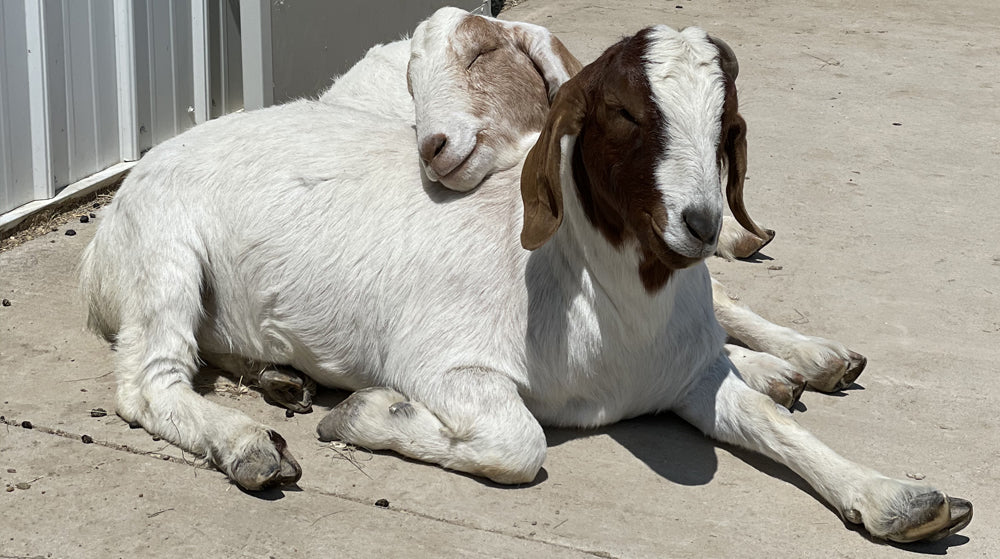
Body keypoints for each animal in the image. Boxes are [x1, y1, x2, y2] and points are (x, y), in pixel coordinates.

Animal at [78, 6, 968, 544]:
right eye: (624, 113)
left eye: (726, 121)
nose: (700, 223)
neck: (603, 300)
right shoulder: (445, 361)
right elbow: (518, 442)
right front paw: (368, 413)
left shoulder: (693, 374)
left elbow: (779, 425)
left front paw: (901, 498)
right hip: (166, 254)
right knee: (150, 379)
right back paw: (247, 443)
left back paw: (278, 377)